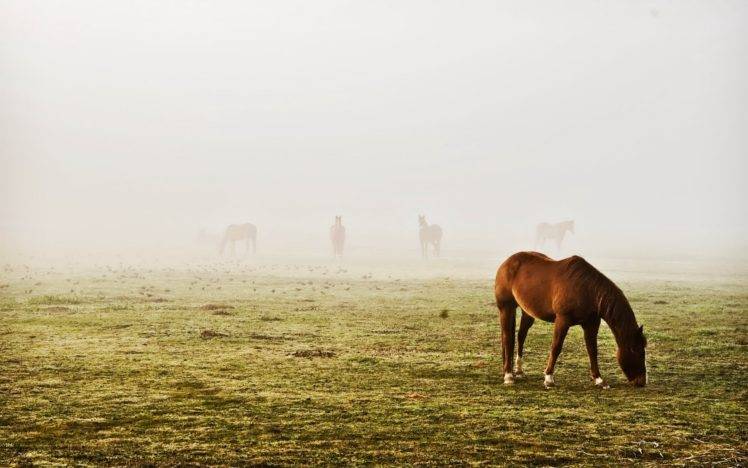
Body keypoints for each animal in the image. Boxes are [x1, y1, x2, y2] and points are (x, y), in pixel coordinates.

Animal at [494, 251, 646, 388]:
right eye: (635, 350)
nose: (642, 381)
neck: (588, 290)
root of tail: (507, 263)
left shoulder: (591, 324)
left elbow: (592, 350)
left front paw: (599, 379)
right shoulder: (563, 320)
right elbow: (556, 347)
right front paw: (548, 378)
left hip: (527, 312)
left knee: (520, 336)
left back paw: (518, 371)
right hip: (506, 308)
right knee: (507, 338)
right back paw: (508, 375)